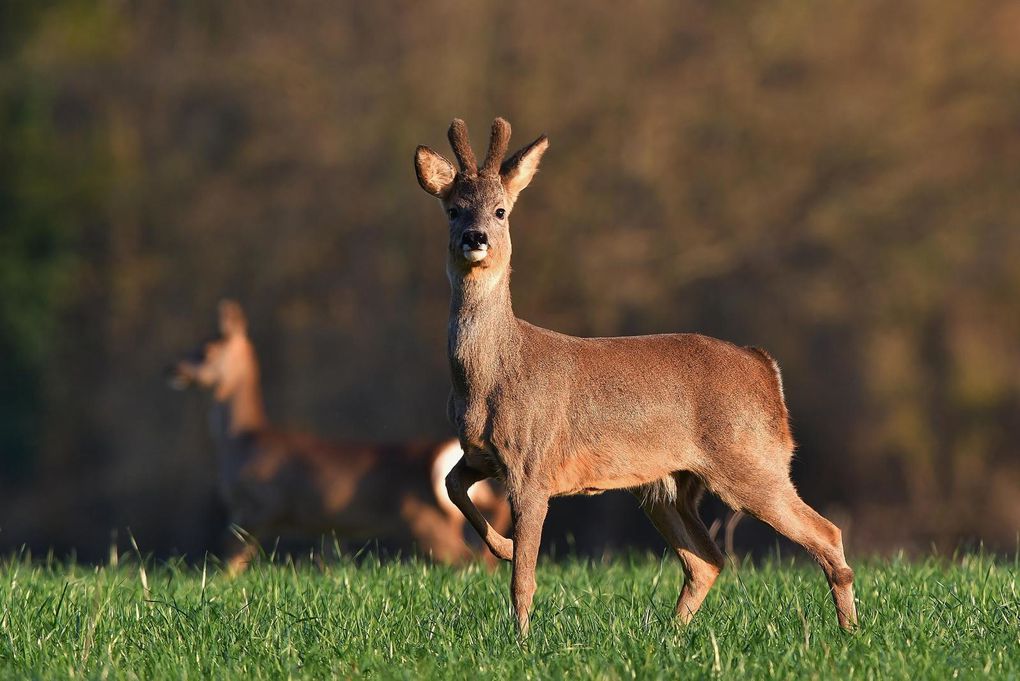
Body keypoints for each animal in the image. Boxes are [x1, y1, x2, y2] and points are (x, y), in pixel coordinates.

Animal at [172, 299, 518, 570]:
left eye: (205, 350)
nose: (173, 370)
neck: (241, 441)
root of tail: (439, 452)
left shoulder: (259, 505)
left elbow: (228, 562)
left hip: (426, 520)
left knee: (465, 558)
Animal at [410, 119, 856, 636]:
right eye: (454, 209)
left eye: (501, 210)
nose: (475, 237)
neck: (490, 378)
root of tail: (765, 367)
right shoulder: (480, 453)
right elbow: (451, 485)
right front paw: (502, 547)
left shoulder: (532, 463)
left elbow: (524, 575)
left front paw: (520, 637)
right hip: (669, 484)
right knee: (707, 560)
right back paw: (670, 633)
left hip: (751, 460)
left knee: (826, 533)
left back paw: (849, 632)